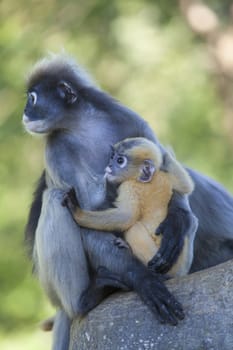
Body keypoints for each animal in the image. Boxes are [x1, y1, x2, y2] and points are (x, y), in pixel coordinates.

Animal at [63, 137, 193, 276]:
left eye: (120, 161)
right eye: (112, 157)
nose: (109, 165)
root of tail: (179, 273)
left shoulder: (129, 186)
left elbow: (126, 217)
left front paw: (77, 211)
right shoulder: (166, 177)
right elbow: (186, 186)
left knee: (133, 228)